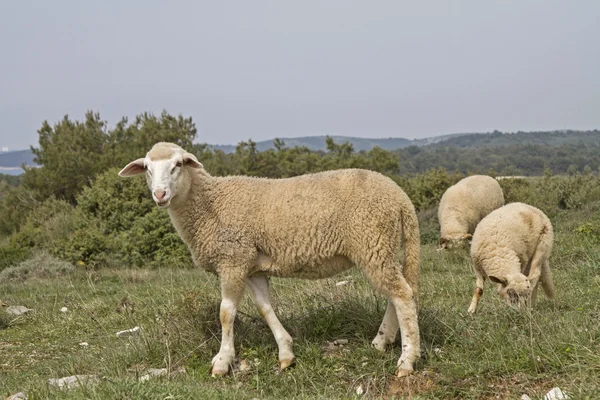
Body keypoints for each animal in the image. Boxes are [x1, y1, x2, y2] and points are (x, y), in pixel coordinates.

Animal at [118, 141, 422, 378]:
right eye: (147, 168)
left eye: (178, 164)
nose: (160, 194)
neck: (209, 204)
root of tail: (401, 198)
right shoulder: (252, 266)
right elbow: (265, 308)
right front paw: (286, 353)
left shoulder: (232, 260)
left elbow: (226, 313)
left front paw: (222, 362)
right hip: (381, 247)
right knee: (397, 294)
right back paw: (381, 342)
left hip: (373, 242)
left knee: (402, 295)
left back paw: (406, 360)